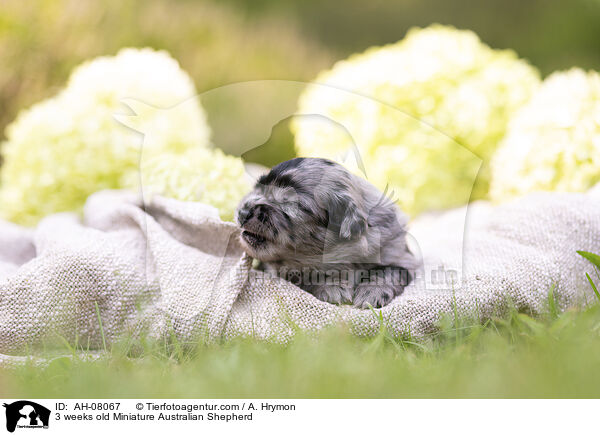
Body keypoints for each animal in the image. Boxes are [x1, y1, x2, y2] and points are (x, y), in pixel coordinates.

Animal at [234, 158, 418, 308]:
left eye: (289, 202)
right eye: (258, 190)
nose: (242, 212)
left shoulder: (402, 258)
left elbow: (388, 271)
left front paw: (370, 293)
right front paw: (333, 287)